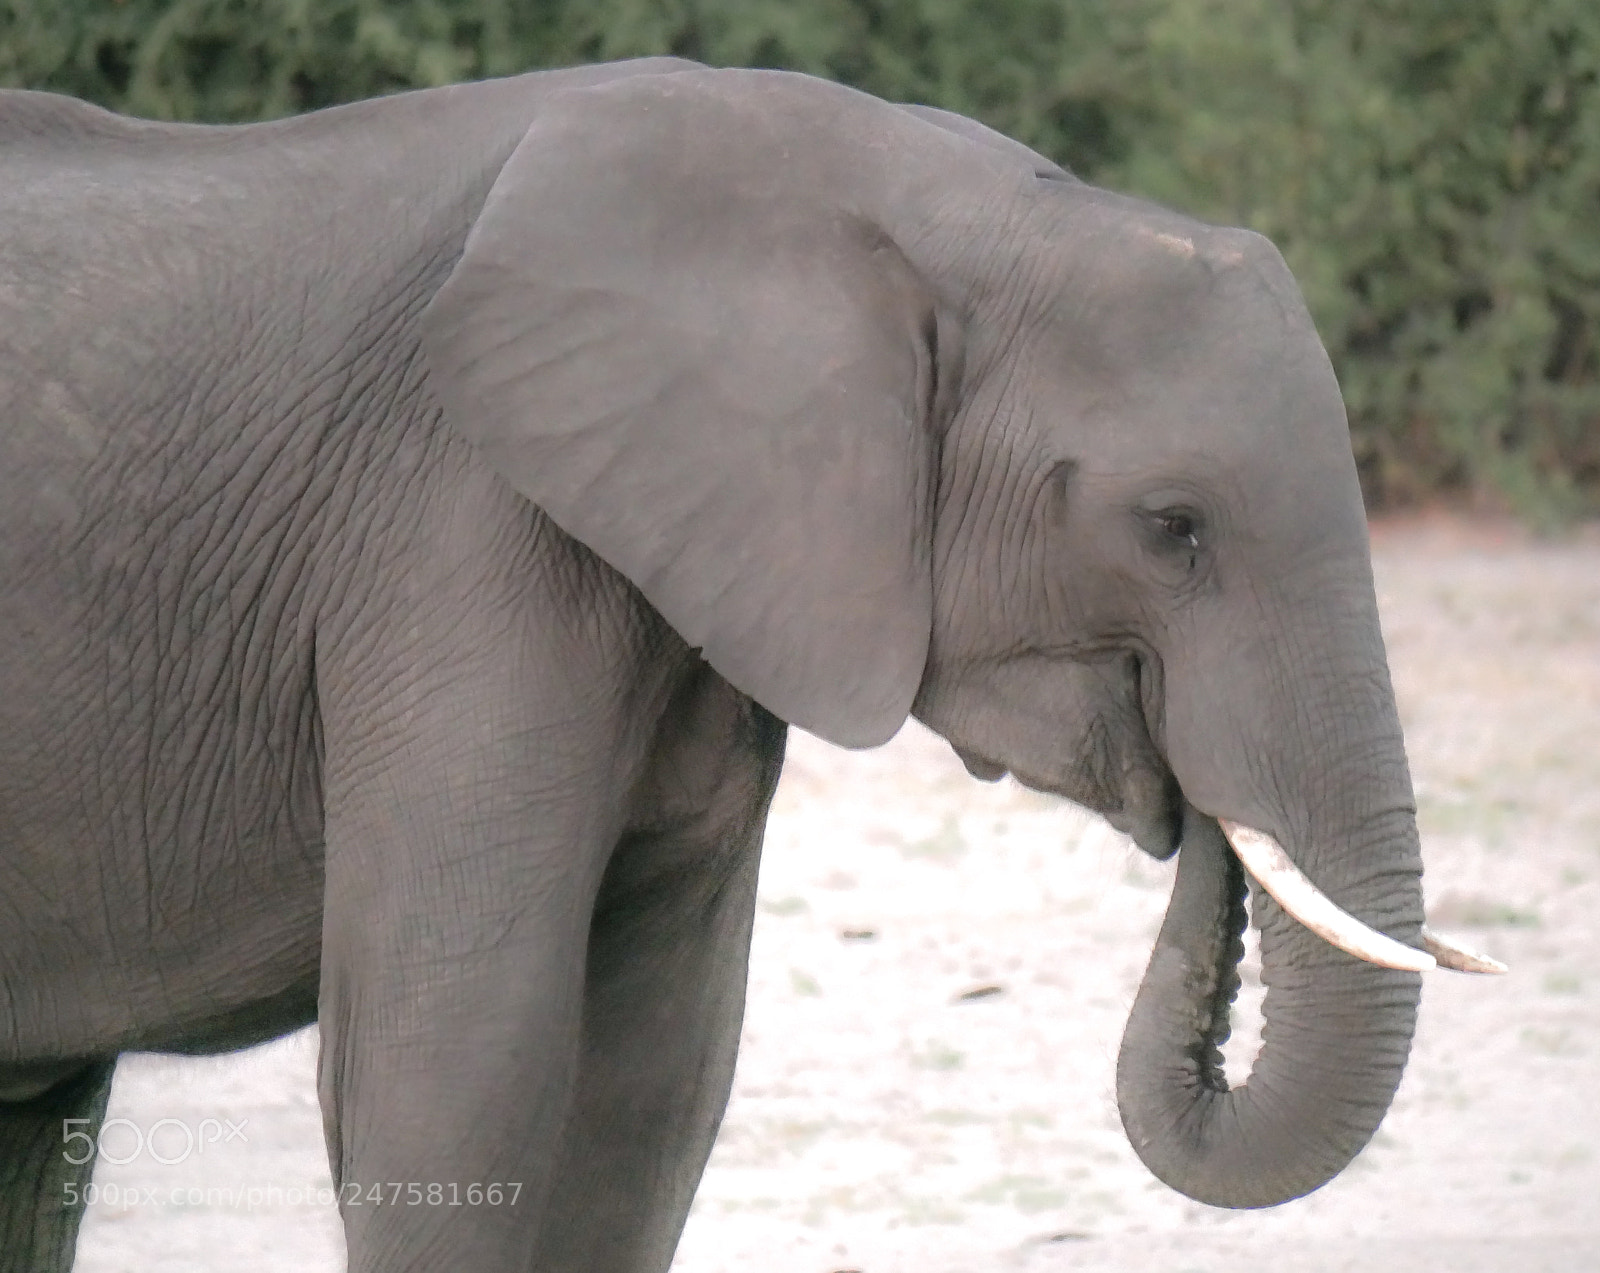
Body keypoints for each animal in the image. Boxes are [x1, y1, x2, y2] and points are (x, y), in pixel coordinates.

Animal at [0, 57, 1500, 1272]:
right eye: (1172, 528)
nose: (1197, 807)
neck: (924, 198)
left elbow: (657, 1081)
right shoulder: (457, 531)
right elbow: (452, 1070)